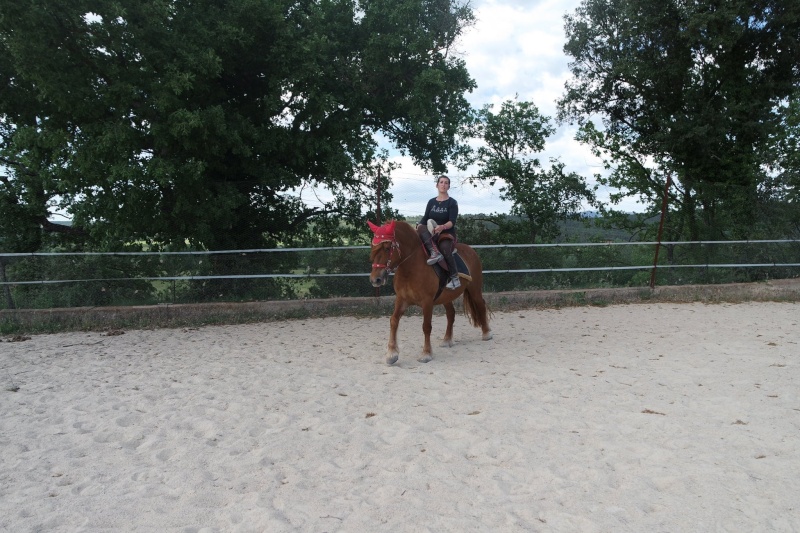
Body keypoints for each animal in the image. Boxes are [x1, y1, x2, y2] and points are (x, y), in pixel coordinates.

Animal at [370, 218, 494, 364]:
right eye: (373, 248)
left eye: (387, 248)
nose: (375, 279)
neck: (411, 268)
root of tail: (471, 250)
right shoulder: (401, 299)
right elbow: (393, 321)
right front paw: (391, 354)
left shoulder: (427, 302)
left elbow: (426, 326)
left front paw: (426, 353)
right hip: (446, 297)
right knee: (451, 314)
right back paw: (447, 340)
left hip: (474, 289)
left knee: (480, 305)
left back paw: (486, 333)